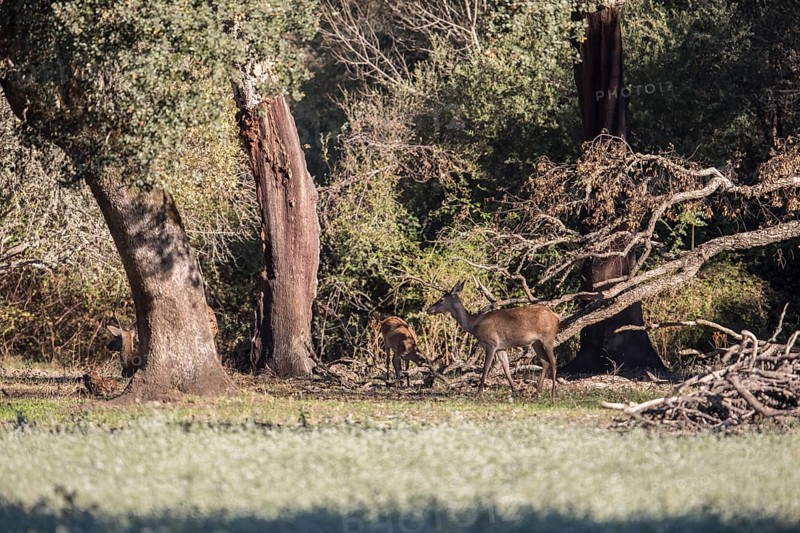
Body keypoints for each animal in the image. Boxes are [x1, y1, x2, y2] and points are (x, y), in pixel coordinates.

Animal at [427, 280, 560, 397]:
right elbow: (506, 368)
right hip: (536, 342)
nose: (429, 310)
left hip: (548, 338)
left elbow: (486, 368)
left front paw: (478, 393)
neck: (474, 324)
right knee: (545, 361)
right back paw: (537, 392)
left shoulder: (491, 343)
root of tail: (556, 316)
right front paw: (515, 391)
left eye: (442, 299)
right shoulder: (501, 347)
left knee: (553, 361)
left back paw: (553, 393)